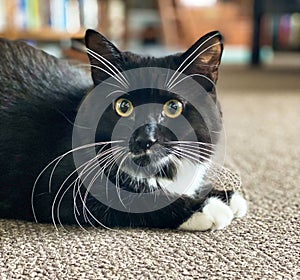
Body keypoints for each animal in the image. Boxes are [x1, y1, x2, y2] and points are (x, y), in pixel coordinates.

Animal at [0, 29, 247, 230]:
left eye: (173, 107)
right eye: (123, 106)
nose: (145, 139)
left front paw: (226, 196)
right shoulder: (61, 187)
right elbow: (133, 199)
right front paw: (206, 207)